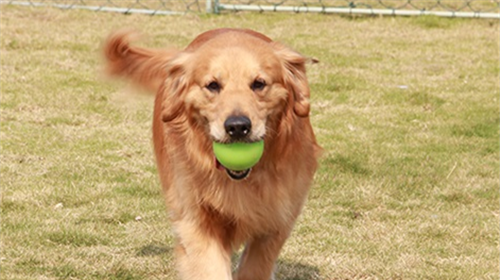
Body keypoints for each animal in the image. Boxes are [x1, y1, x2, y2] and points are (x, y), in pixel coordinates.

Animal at [102, 29, 320, 280]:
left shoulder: (278, 218)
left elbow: (256, 266)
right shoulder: (194, 220)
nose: (237, 127)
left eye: (259, 84)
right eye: (213, 85)